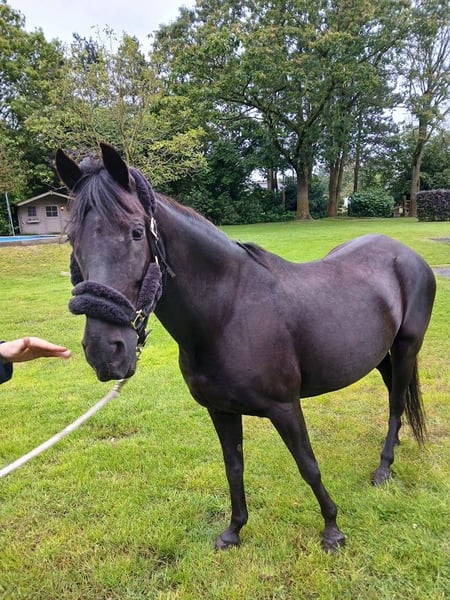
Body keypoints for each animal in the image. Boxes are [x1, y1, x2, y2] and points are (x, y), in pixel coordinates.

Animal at [56, 143, 436, 552]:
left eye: (137, 232)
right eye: (72, 239)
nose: (105, 351)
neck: (227, 314)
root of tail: (406, 254)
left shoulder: (285, 407)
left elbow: (308, 466)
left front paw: (332, 530)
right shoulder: (221, 410)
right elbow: (233, 468)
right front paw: (234, 531)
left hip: (406, 348)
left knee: (396, 403)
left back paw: (383, 468)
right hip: (381, 357)